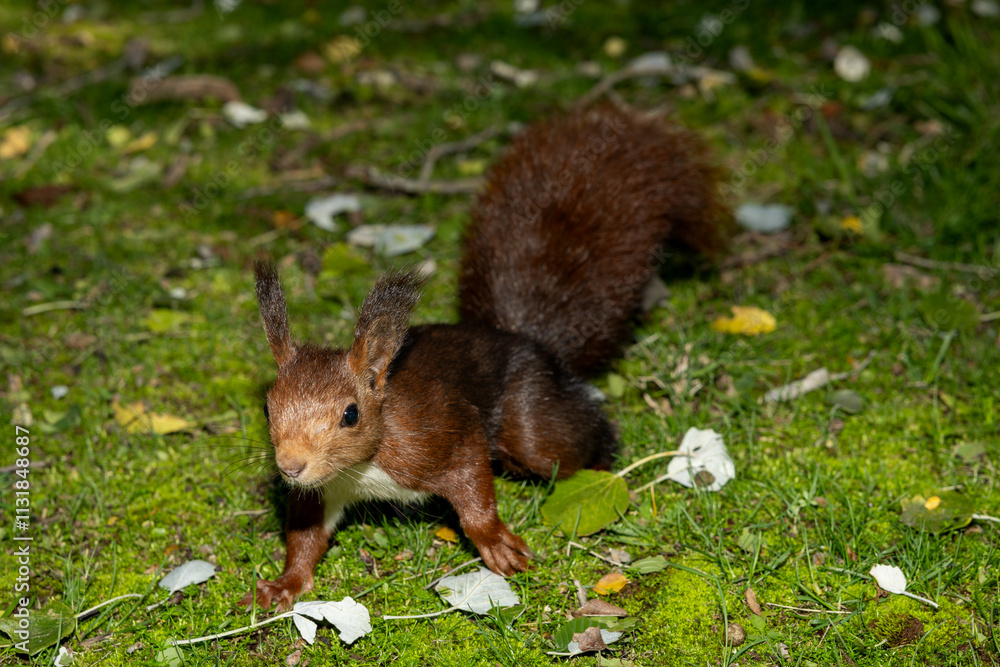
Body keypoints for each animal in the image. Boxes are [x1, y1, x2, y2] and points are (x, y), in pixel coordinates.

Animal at [240, 107, 730, 611]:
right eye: (267, 407)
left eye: (350, 415)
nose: (290, 466)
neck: (363, 467)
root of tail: (522, 337)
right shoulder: (322, 488)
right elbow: (304, 537)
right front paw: (284, 585)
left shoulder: (440, 435)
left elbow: (474, 488)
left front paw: (497, 545)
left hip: (531, 419)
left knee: (568, 441)